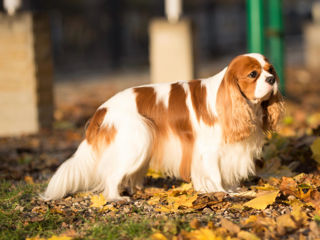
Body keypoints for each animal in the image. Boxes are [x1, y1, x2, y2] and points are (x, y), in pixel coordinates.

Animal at [42, 53, 282, 202]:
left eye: (270, 70)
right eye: (253, 74)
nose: (271, 79)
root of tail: (102, 110)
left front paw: (231, 189)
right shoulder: (208, 151)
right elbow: (214, 174)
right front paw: (224, 193)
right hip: (138, 139)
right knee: (111, 175)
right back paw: (116, 197)